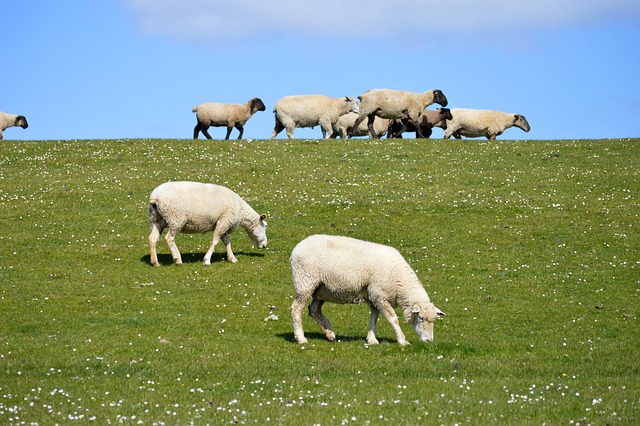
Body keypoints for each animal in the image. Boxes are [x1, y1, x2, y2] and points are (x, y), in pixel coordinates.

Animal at [290, 233, 444, 346]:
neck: (399, 280)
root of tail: (298, 246)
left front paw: (372, 340)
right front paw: (402, 340)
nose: (429, 341)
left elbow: (374, 318)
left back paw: (330, 333)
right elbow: (393, 319)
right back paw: (301, 338)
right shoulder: (380, 296)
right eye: (421, 317)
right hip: (305, 283)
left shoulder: (374, 296)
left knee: (314, 309)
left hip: (322, 290)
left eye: (434, 320)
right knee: (296, 309)